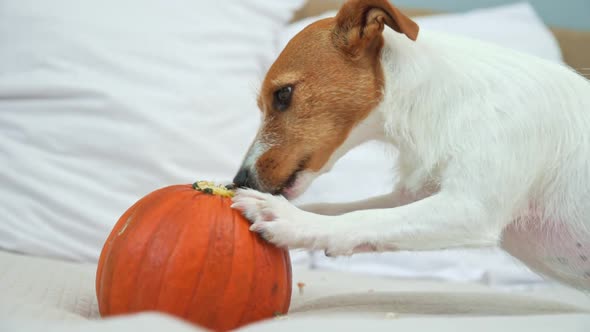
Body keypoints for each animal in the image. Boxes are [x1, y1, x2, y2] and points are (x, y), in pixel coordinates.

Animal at [230, 0, 590, 290]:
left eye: (283, 94)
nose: (238, 181)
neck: (435, 100)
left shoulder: (471, 207)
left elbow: (363, 218)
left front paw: (287, 218)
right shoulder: (412, 196)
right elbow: (343, 210)